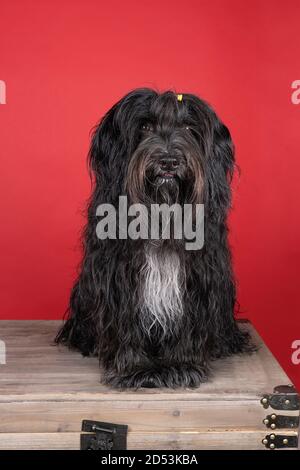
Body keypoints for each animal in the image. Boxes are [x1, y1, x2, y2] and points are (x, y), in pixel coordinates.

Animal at [55, 88, 251, 390]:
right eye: (145, 127)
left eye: (188, 128)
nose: (168, 161)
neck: (161, 215)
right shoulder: (120, 276)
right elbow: (126, 323)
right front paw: (135, 369)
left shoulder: (198, 279)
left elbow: (187, 325)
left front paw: (180, 365)